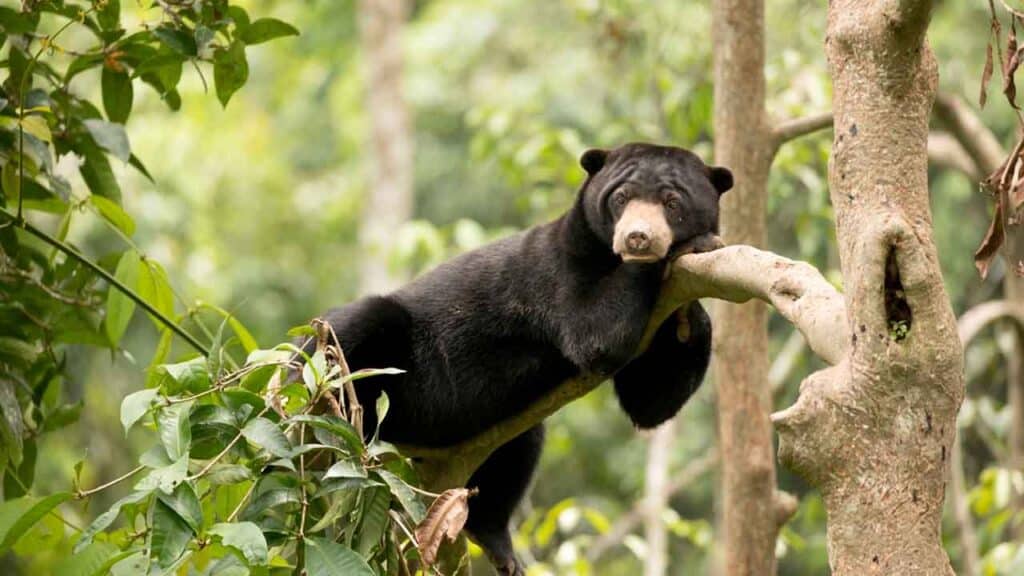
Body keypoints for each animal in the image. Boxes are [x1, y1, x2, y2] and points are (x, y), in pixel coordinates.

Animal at [312, 142, 732, 575]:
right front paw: (694, 245)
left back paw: (498, 544)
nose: (638, 239)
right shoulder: (557, 275)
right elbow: (594, 333)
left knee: (514, 456)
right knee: (359, 327)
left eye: (672, 202)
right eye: (620, 198)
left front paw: (691, 313)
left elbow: (650, 401)